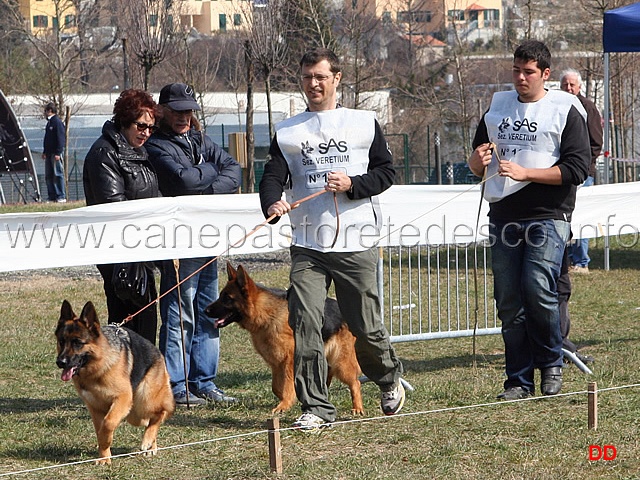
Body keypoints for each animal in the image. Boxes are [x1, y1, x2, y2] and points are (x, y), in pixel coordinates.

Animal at [55, 300, 174, 464]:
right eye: (61, 341)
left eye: (78, 343)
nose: (60, 362)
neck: (97, 367)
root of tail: (157, 351)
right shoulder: (95, 408)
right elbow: (100, 430)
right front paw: (104, 457)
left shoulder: (121, 399)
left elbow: (108, 424)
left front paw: (106, 442)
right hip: (134, 414)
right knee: (147, 420)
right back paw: (151, 445)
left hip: (144, 401)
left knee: (160, 413)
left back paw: (148, 441)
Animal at [206, 260, 364, 414]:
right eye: (221, 296)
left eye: (227, 298)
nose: (205, 310)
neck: (267, 314)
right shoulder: (276, 362)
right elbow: (276, 386)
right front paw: (287, 400)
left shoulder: (289, 361)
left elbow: (287, 385)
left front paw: (285, 404)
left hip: (340, 362)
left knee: (355, 382)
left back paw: (357, 408)